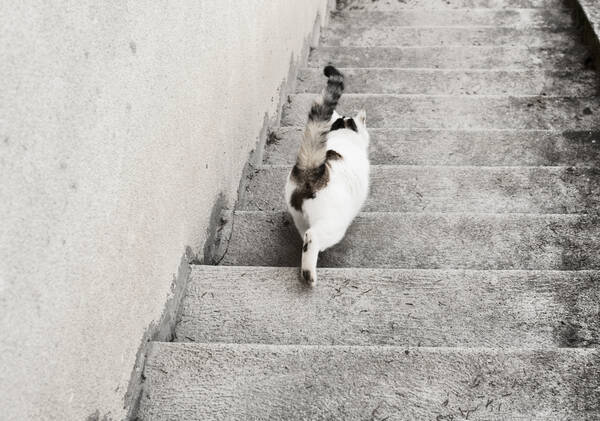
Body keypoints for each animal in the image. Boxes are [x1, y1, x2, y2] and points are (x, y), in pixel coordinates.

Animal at [284, 65, 370, 285]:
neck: (343, 136)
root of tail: (311, 169)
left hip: (298, 215)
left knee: (304, 233)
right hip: (334, 223)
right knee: (312, 237)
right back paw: (309, 275)